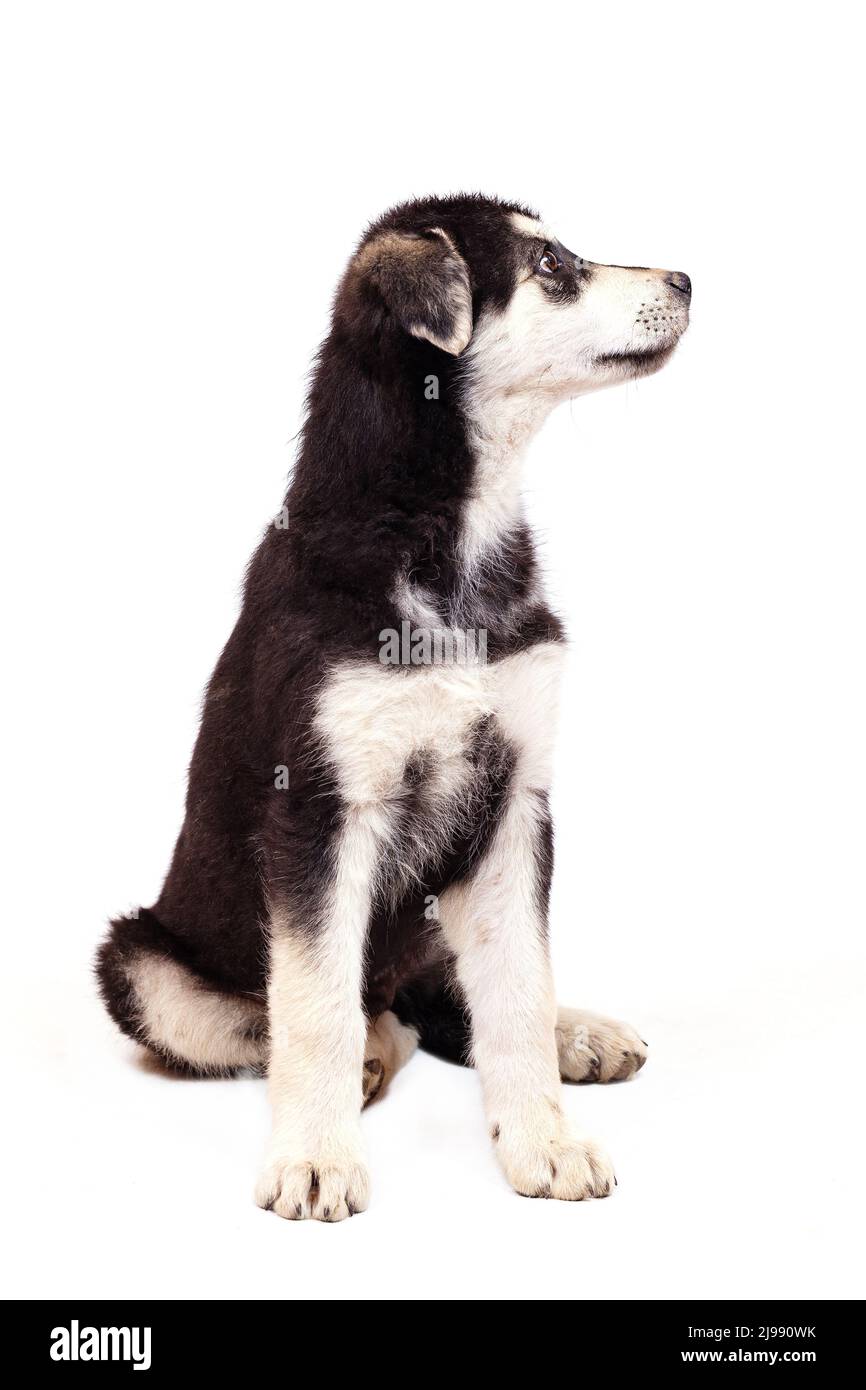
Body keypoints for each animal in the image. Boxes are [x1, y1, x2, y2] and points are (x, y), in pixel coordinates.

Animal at [96, 193, 692, 1217]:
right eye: (551, 265)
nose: (687, 280)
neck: (447, 537)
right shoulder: (320, 808)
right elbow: (313, 1004)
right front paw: (314, 1158)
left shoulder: (515, 802)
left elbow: (518, 984)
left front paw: (544, 1140)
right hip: (138, 963)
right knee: (321, 1013)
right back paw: (373, 1054)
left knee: (442, 990)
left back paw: (576, 1032)